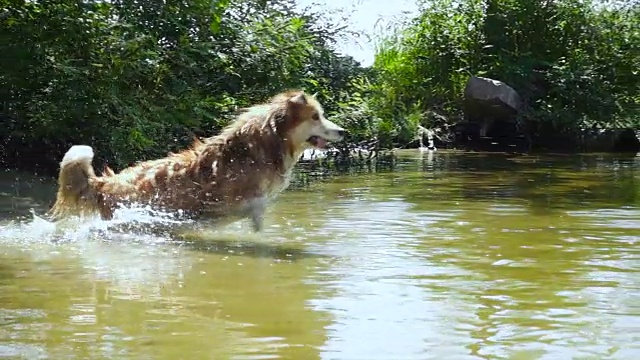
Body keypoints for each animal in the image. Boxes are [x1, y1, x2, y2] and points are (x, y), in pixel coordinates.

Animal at [46, 89, 344, 231]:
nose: (343, 131)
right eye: (315, 116)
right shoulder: (235, 198)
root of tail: (105, 182)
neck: (269, 140)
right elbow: (253, 209)